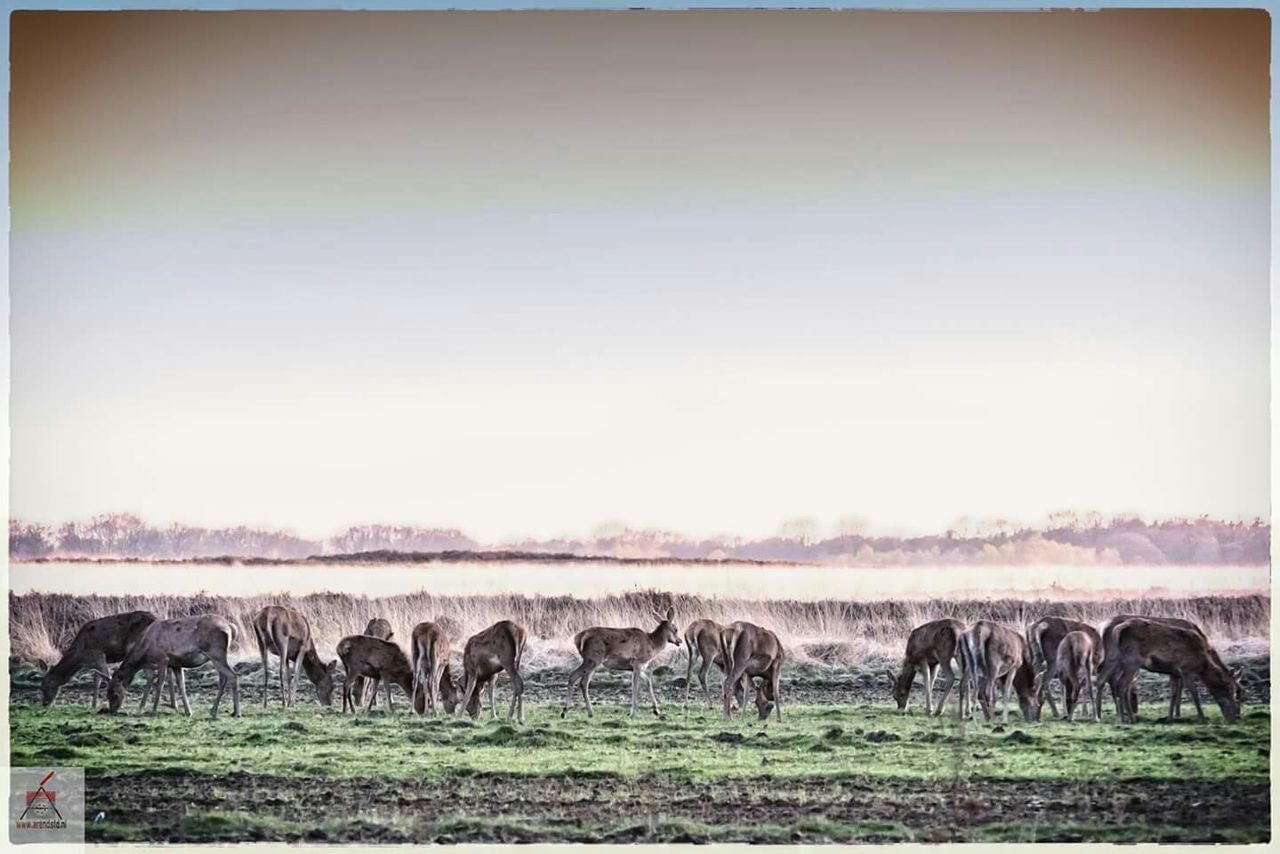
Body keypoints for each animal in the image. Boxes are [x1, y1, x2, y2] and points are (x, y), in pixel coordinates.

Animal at [106, 617, 240, 717]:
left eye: (115, 693)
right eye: (107, 694)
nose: (112, 711)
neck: (146, 654)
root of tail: (232, 628)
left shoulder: (163, 659)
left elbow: (160, 684)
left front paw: (153, 711)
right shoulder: (176, 664)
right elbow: (181, 686)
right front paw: (188, 711)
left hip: (215, 653)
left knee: (232, 675)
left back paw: (236, 712)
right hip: (219, 656)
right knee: (223, 678)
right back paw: (214, 710)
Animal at [1090, 617, 1239, 727]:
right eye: (1229, 691)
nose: (1235, 717)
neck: (1203, 664)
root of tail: (1116, 630)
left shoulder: (1174, 672)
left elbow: (1173, 694)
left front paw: (1170, 718)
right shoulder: (1186, 669)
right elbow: (1194, 694)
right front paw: (1202, 719)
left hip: (1114, 657)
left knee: (1103, 680)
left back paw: (1114, 716)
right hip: (1132, 661)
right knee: (1121, 685)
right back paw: (1126, 718)